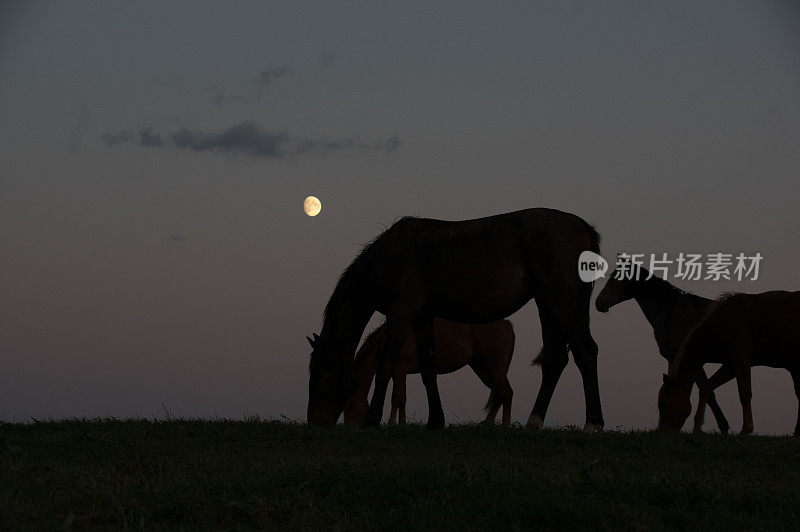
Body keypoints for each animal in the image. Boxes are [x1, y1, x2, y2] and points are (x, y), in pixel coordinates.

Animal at [340, 318, 516, 426]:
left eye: (350, 405)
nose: (350, 428)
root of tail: (507, 325)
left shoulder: (400, 369)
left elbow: (397, 397)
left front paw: (391, 423)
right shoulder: (398, 373)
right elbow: (402, 398)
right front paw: (402, 424)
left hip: (494, 368)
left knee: (506, 392)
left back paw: (505, 426)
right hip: (483, 370)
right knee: (499, 394)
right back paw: (487, 423)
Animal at [592, 264, 732, 434]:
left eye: (614, 279)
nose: (598, 303)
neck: (671, 312)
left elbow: (709, 393)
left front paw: (724, 427)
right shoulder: (673, 359)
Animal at [660, 290, 800, 436]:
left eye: (663, 403)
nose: (662, 431)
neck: (724, 322)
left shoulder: (741, 360)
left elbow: (745, 393)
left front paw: (746, 429)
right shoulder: (730, 366)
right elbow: (706, 388)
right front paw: (697, 427)